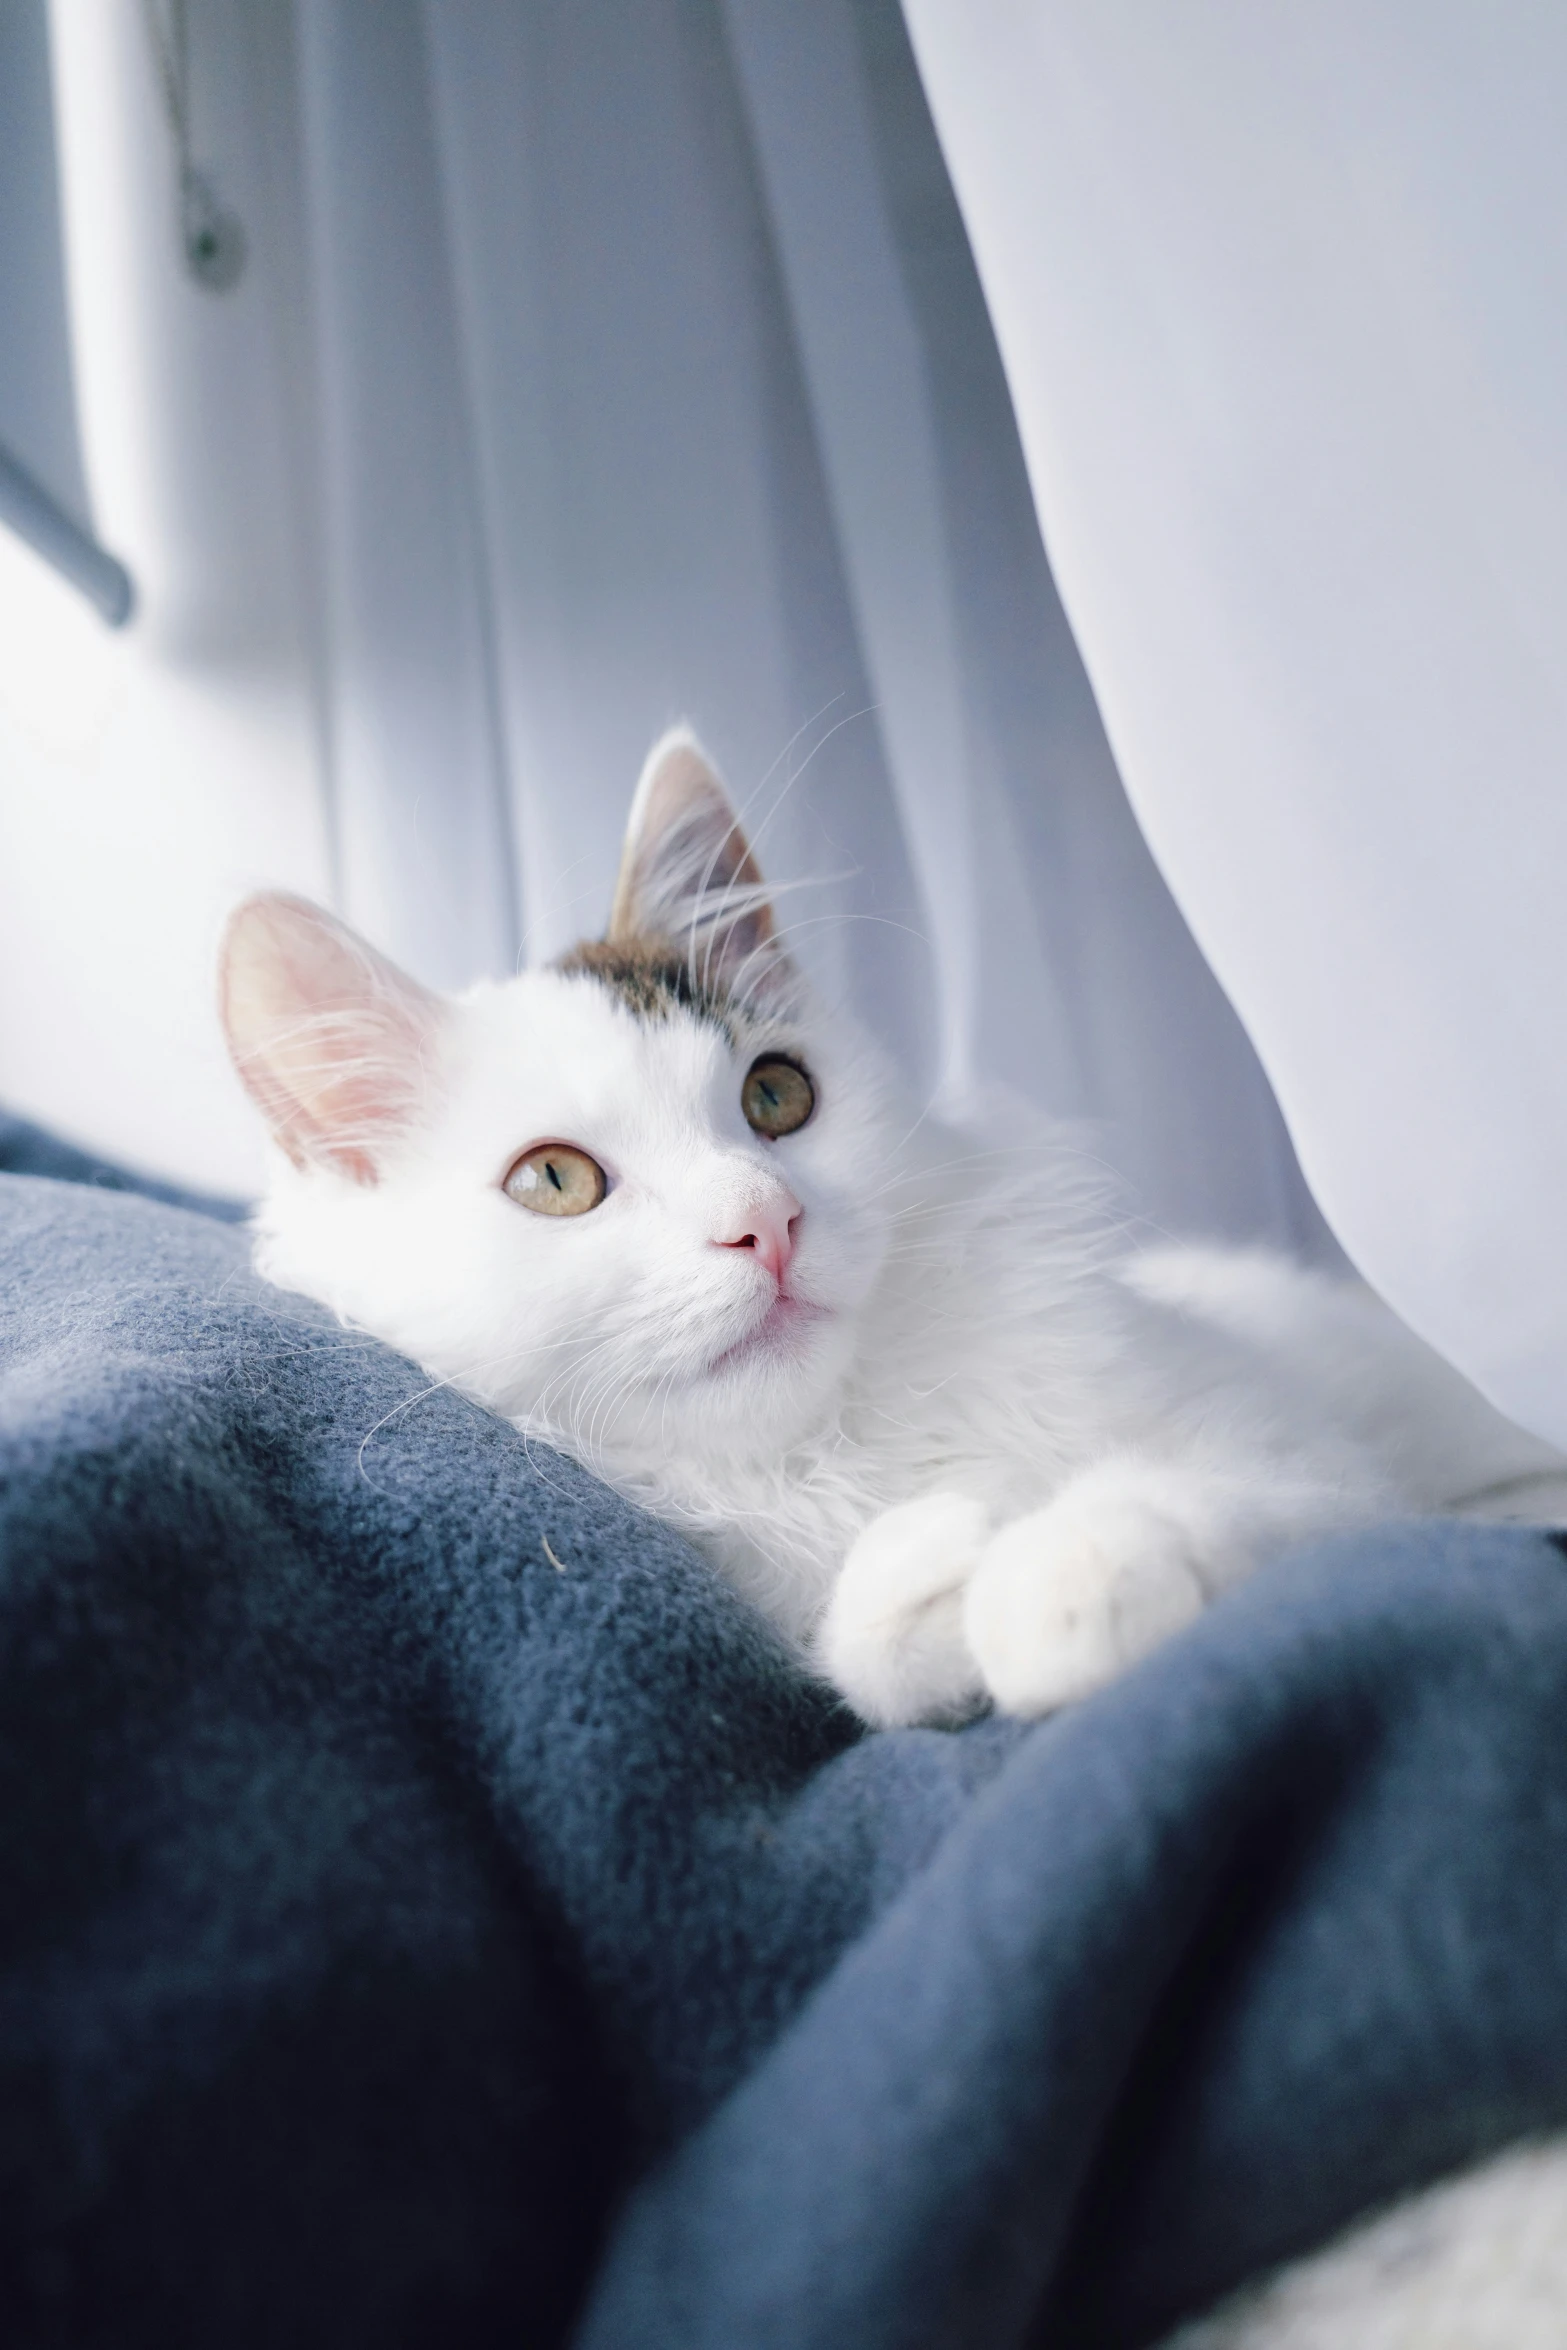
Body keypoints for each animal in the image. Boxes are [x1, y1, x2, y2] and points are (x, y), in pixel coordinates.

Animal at [217, 728, 1567, 1729]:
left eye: (775, 1097)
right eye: (554, 1180)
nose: (764, 1224)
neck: (841, 1439)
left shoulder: (1311, 1459)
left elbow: (1209, 1490)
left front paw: (1066, 1575)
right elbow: (868, 1663)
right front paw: (929, 1573)